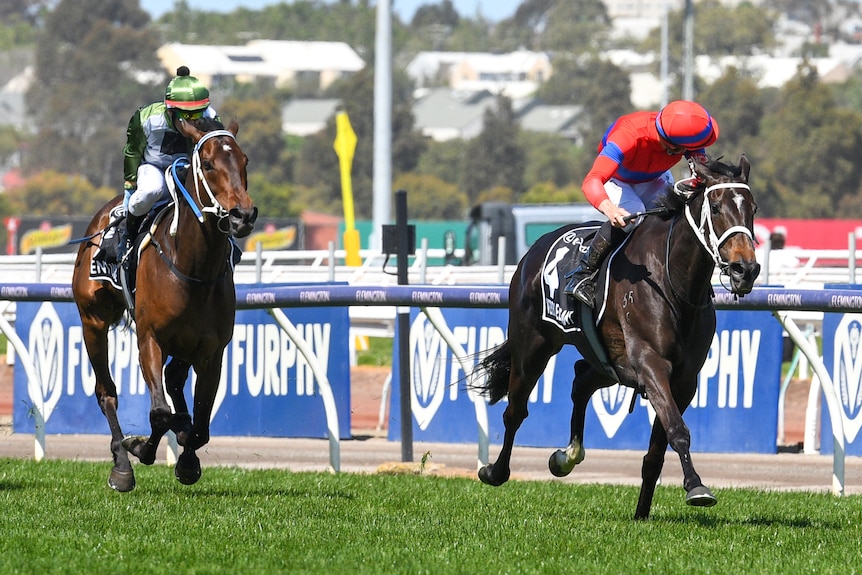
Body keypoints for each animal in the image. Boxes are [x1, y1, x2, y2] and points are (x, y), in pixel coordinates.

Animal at [71, 117, 256, 490]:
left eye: (244, 161)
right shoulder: (150, 339)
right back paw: (121, 463)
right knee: (106, 392)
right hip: (93, 321)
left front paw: (187, 461)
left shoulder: (211, 350)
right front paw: (139, 449)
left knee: (173, 379)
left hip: (184, 341)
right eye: (209, 164)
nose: (242, 215)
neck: (193, 268)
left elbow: (200, 427)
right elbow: (159, 413)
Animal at [472, 155, 764, 520]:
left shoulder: (684, 378)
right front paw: (697, 487)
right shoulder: (651, 364)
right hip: (533, 347)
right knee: (515, 410)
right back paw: (494, 471)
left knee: (580, 381)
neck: (674, 282)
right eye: (715, 205)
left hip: (609, 363)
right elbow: (678, 430)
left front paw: (642, 512)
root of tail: (533, 252)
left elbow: (658, 448)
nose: (745, 270)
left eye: (752, 207)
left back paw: (566, 456)